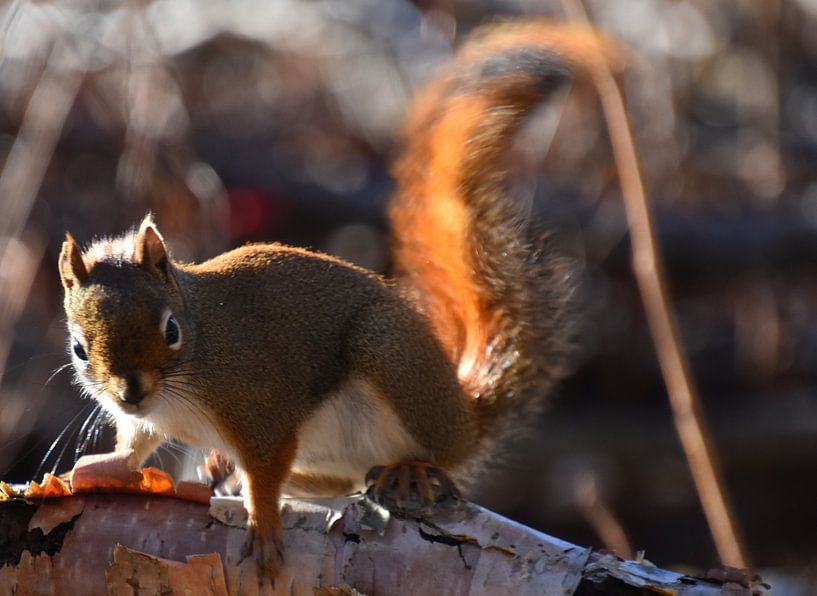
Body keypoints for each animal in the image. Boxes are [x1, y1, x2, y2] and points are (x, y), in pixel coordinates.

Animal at [58, 19, 608, 587]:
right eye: (79, 348)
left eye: (171, 331)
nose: (131, 393)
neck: (193, 362)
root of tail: (466, 418)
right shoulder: (147, 422)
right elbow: (133, 449)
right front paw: (93, 471)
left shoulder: (261, 406)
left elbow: (265, 471)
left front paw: (263, 525)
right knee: (338, 481)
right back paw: (230, 470)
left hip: (390, 357)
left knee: (433, 455)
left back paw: (408, 468)